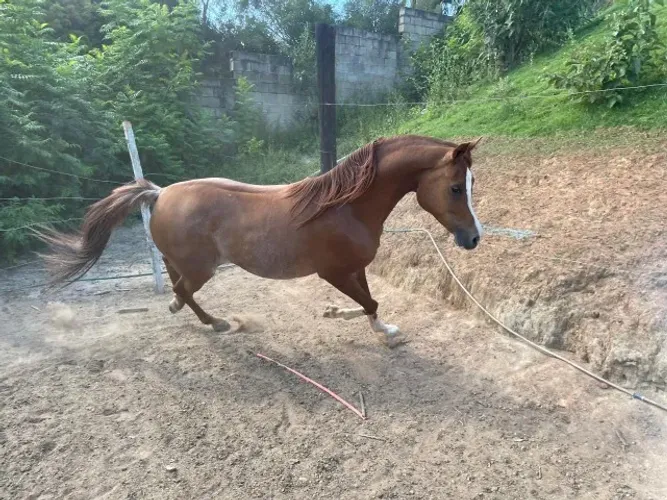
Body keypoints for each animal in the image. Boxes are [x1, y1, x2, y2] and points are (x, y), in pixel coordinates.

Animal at [37, 134, 483, 346]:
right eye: (455, 188)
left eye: (470, 184)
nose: (474, 238)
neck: (347, 208)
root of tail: (159, 194)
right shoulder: (334, 272)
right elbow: (368, 301)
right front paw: (377, 330)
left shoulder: (355, 268)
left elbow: (370, 302)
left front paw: (367, 324)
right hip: (202, 269)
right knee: (184, 290)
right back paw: (215, 321)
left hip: (185, 262)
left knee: (176, 283)